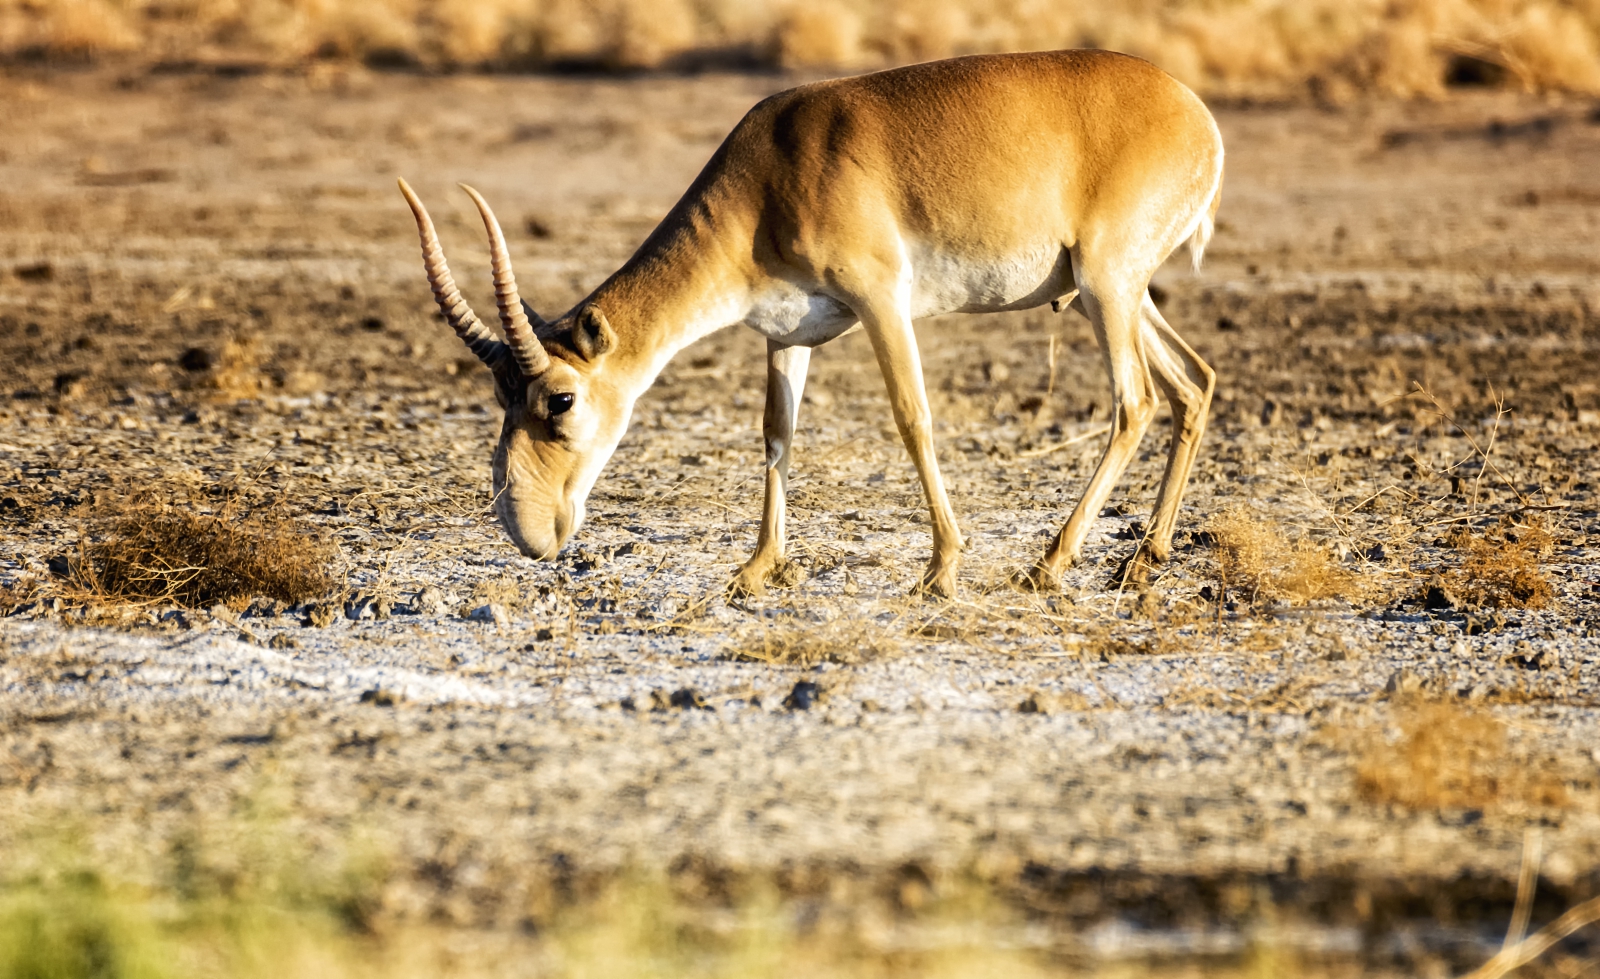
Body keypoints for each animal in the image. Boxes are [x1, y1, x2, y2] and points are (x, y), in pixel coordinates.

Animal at [400, 51, 1222, 595]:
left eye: (560, 399)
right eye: (500, 398)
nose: (526, 530)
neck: (772, 170)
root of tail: (1197, 116)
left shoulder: (881, 301)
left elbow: (912, 417)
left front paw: (941, 569)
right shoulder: (785, 335)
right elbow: (776, 433)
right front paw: (757, 567)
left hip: (1107, 285)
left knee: (1136, 401)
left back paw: (1051, 562)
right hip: (1105, 293)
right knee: (1195, 382)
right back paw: (1143, 556)